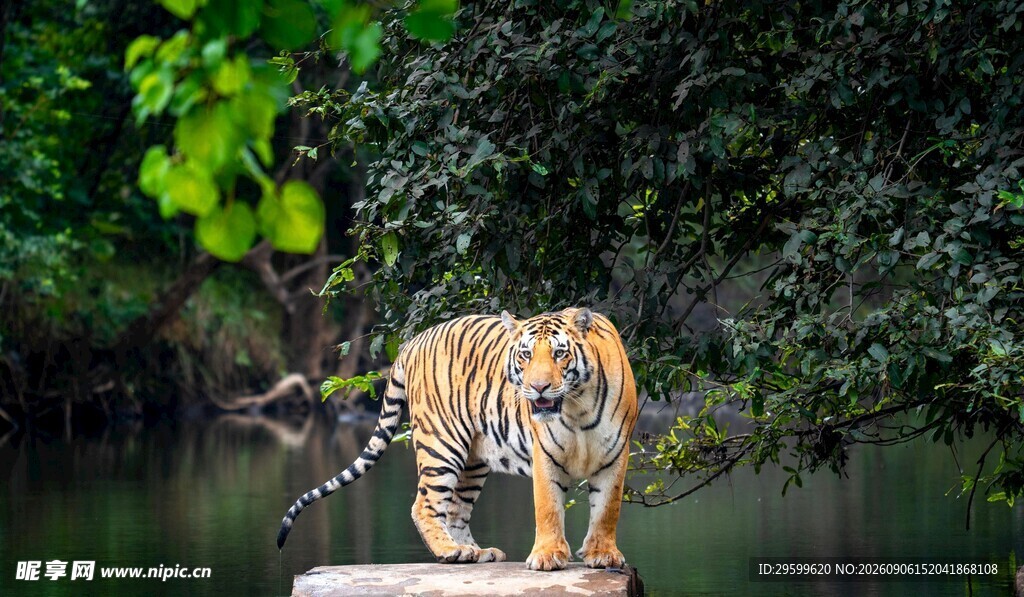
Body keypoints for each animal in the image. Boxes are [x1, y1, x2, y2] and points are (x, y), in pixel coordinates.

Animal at [276, 307, 639, 571]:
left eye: (560, 353)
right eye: (525, 355)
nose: (538, 388)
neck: (576, 408)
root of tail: (413, 340)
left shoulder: (615, 453)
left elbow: (607, 508)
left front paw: (602, 554)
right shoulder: (545, 455)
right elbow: (548, 507)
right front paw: (548, 557)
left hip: (473, 459)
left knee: (454, 510)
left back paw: (473, 551)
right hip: (442, 445)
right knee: (424, 505)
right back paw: (450, 551)